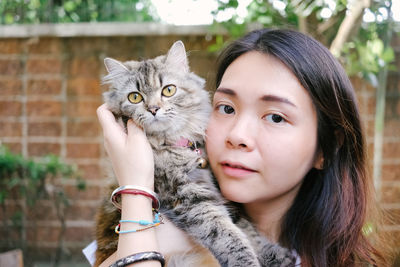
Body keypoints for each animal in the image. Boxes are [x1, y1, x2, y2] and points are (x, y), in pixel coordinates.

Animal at [95, 40, 296, 267]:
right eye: (135, 97)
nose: (153, 109)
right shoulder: (189, 198)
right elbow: (229, 236)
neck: (173, 144)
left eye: (169, 90)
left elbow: (249, 231)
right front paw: (247, 262)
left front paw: (278, 255)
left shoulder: (219, 194)